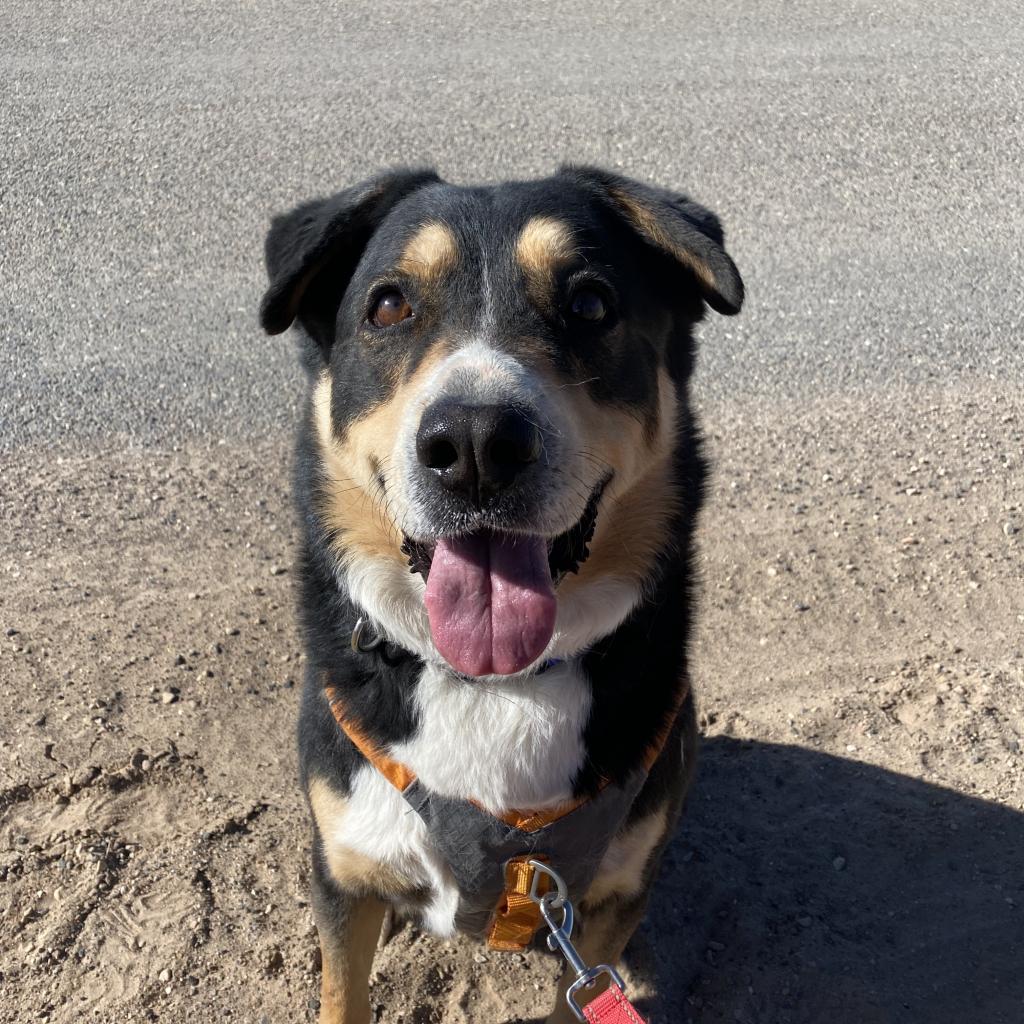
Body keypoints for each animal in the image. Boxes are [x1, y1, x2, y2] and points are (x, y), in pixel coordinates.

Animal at [260, 163, 741, 1019]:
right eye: (389, 305)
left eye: (591, 304)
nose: (476, 443)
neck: (494, 685)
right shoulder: (344, 866)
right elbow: (343, 990)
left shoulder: (604, 907)